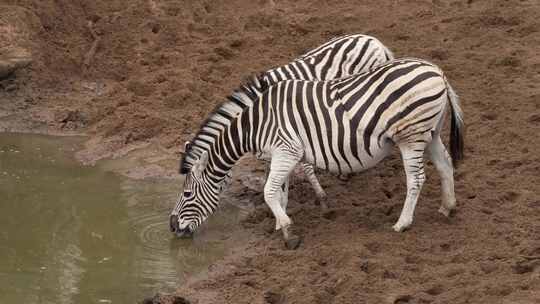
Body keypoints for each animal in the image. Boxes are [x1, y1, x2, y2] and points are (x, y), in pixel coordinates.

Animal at [172, 57, 464, 249]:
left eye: (186, 194)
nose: (172, 228)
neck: (255, 124)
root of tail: (436, 70)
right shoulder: (282, 155)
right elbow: (280, 191)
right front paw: (281, 222)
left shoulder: (286, 150)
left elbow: (269, 191)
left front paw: (288, 233)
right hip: (430, 132)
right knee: (446, 164)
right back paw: (447, 207)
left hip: (410, 136)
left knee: (416, 179)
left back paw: (402, 223)